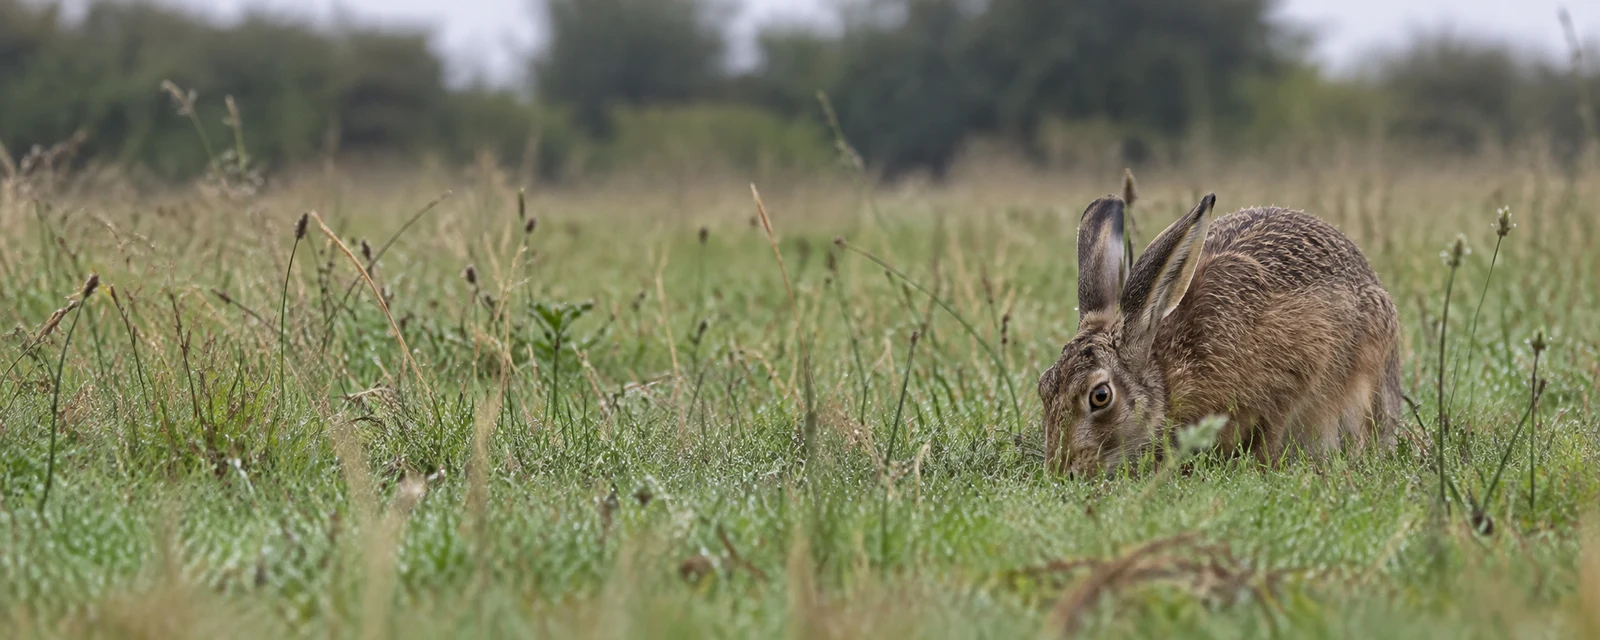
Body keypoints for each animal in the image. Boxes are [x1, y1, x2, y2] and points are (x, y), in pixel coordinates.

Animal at [1037, 193, 1402, 476]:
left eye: (1100, 396)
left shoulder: (1293, 376)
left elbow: (1272, 430)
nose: (1063, 471)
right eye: (1043, 387)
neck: (1167, 377)